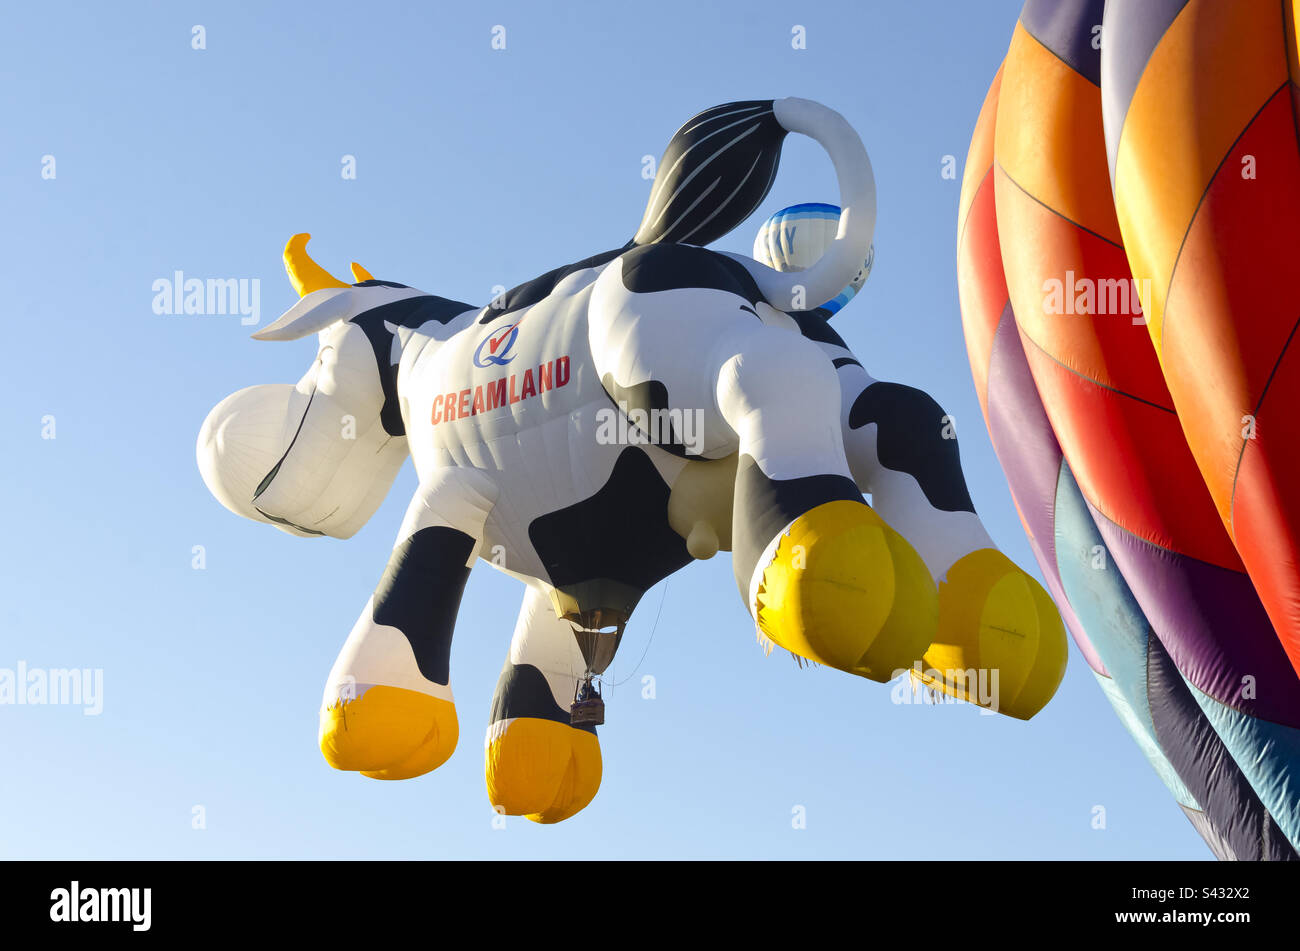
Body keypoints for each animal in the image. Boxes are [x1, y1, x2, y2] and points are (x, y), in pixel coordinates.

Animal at [198, 99, 1065, 824]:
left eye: (318, 360)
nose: (230, 451)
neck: (421, 360)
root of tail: (762, 275)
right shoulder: (566, 557)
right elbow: (549, 647)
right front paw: (538, 759)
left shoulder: (456, 485)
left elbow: (415, 572)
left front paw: (375, 714)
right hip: (826, 374)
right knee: (902, 415)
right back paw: (995, 616)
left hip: (668, 370)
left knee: (770, 378)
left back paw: (823, 569)